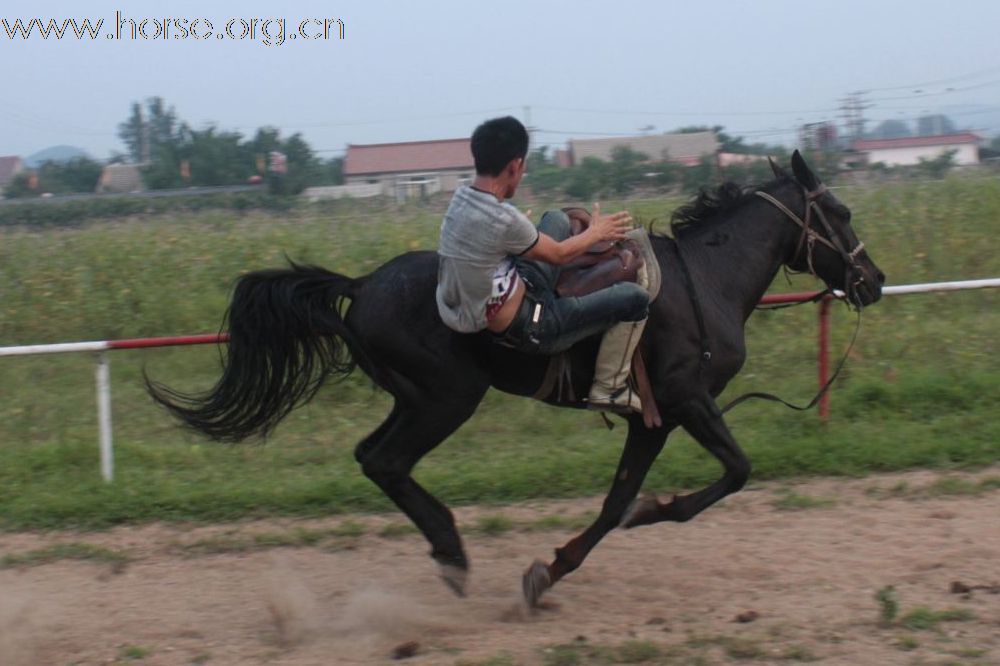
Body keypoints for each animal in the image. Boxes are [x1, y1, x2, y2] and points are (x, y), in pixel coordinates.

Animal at [148, 150, 884, 600]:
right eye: (842, 213)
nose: (873, 279)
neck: (703, 280)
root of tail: (361, 286)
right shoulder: (687, 400)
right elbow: (734, 472)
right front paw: (656, 512)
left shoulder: (653, 418)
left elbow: (615, 499)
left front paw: (553, 568)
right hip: (445, 400)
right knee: (384, 460)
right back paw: (452, 550)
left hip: (414, 399)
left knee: (371, 457)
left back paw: (447, 548)